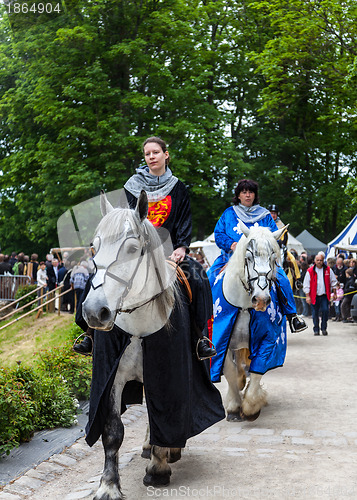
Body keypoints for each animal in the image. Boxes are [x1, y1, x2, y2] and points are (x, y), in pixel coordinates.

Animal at [82, 190, 224, 500]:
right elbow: (113, 429)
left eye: (133, 249)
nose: (95, 311)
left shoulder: (166, 374)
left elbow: (167, 415)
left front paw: (159, 469)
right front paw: (108, 485)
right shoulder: (113, 377)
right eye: (93, 248)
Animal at [216, 223, 286, 422]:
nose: (261, 300)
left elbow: (257, 369)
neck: (244, 306)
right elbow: (229, 371)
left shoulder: (267, 341)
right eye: (248, 258)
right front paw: (233, 406)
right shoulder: (221, 342)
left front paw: (251, 407)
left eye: (273, 259)